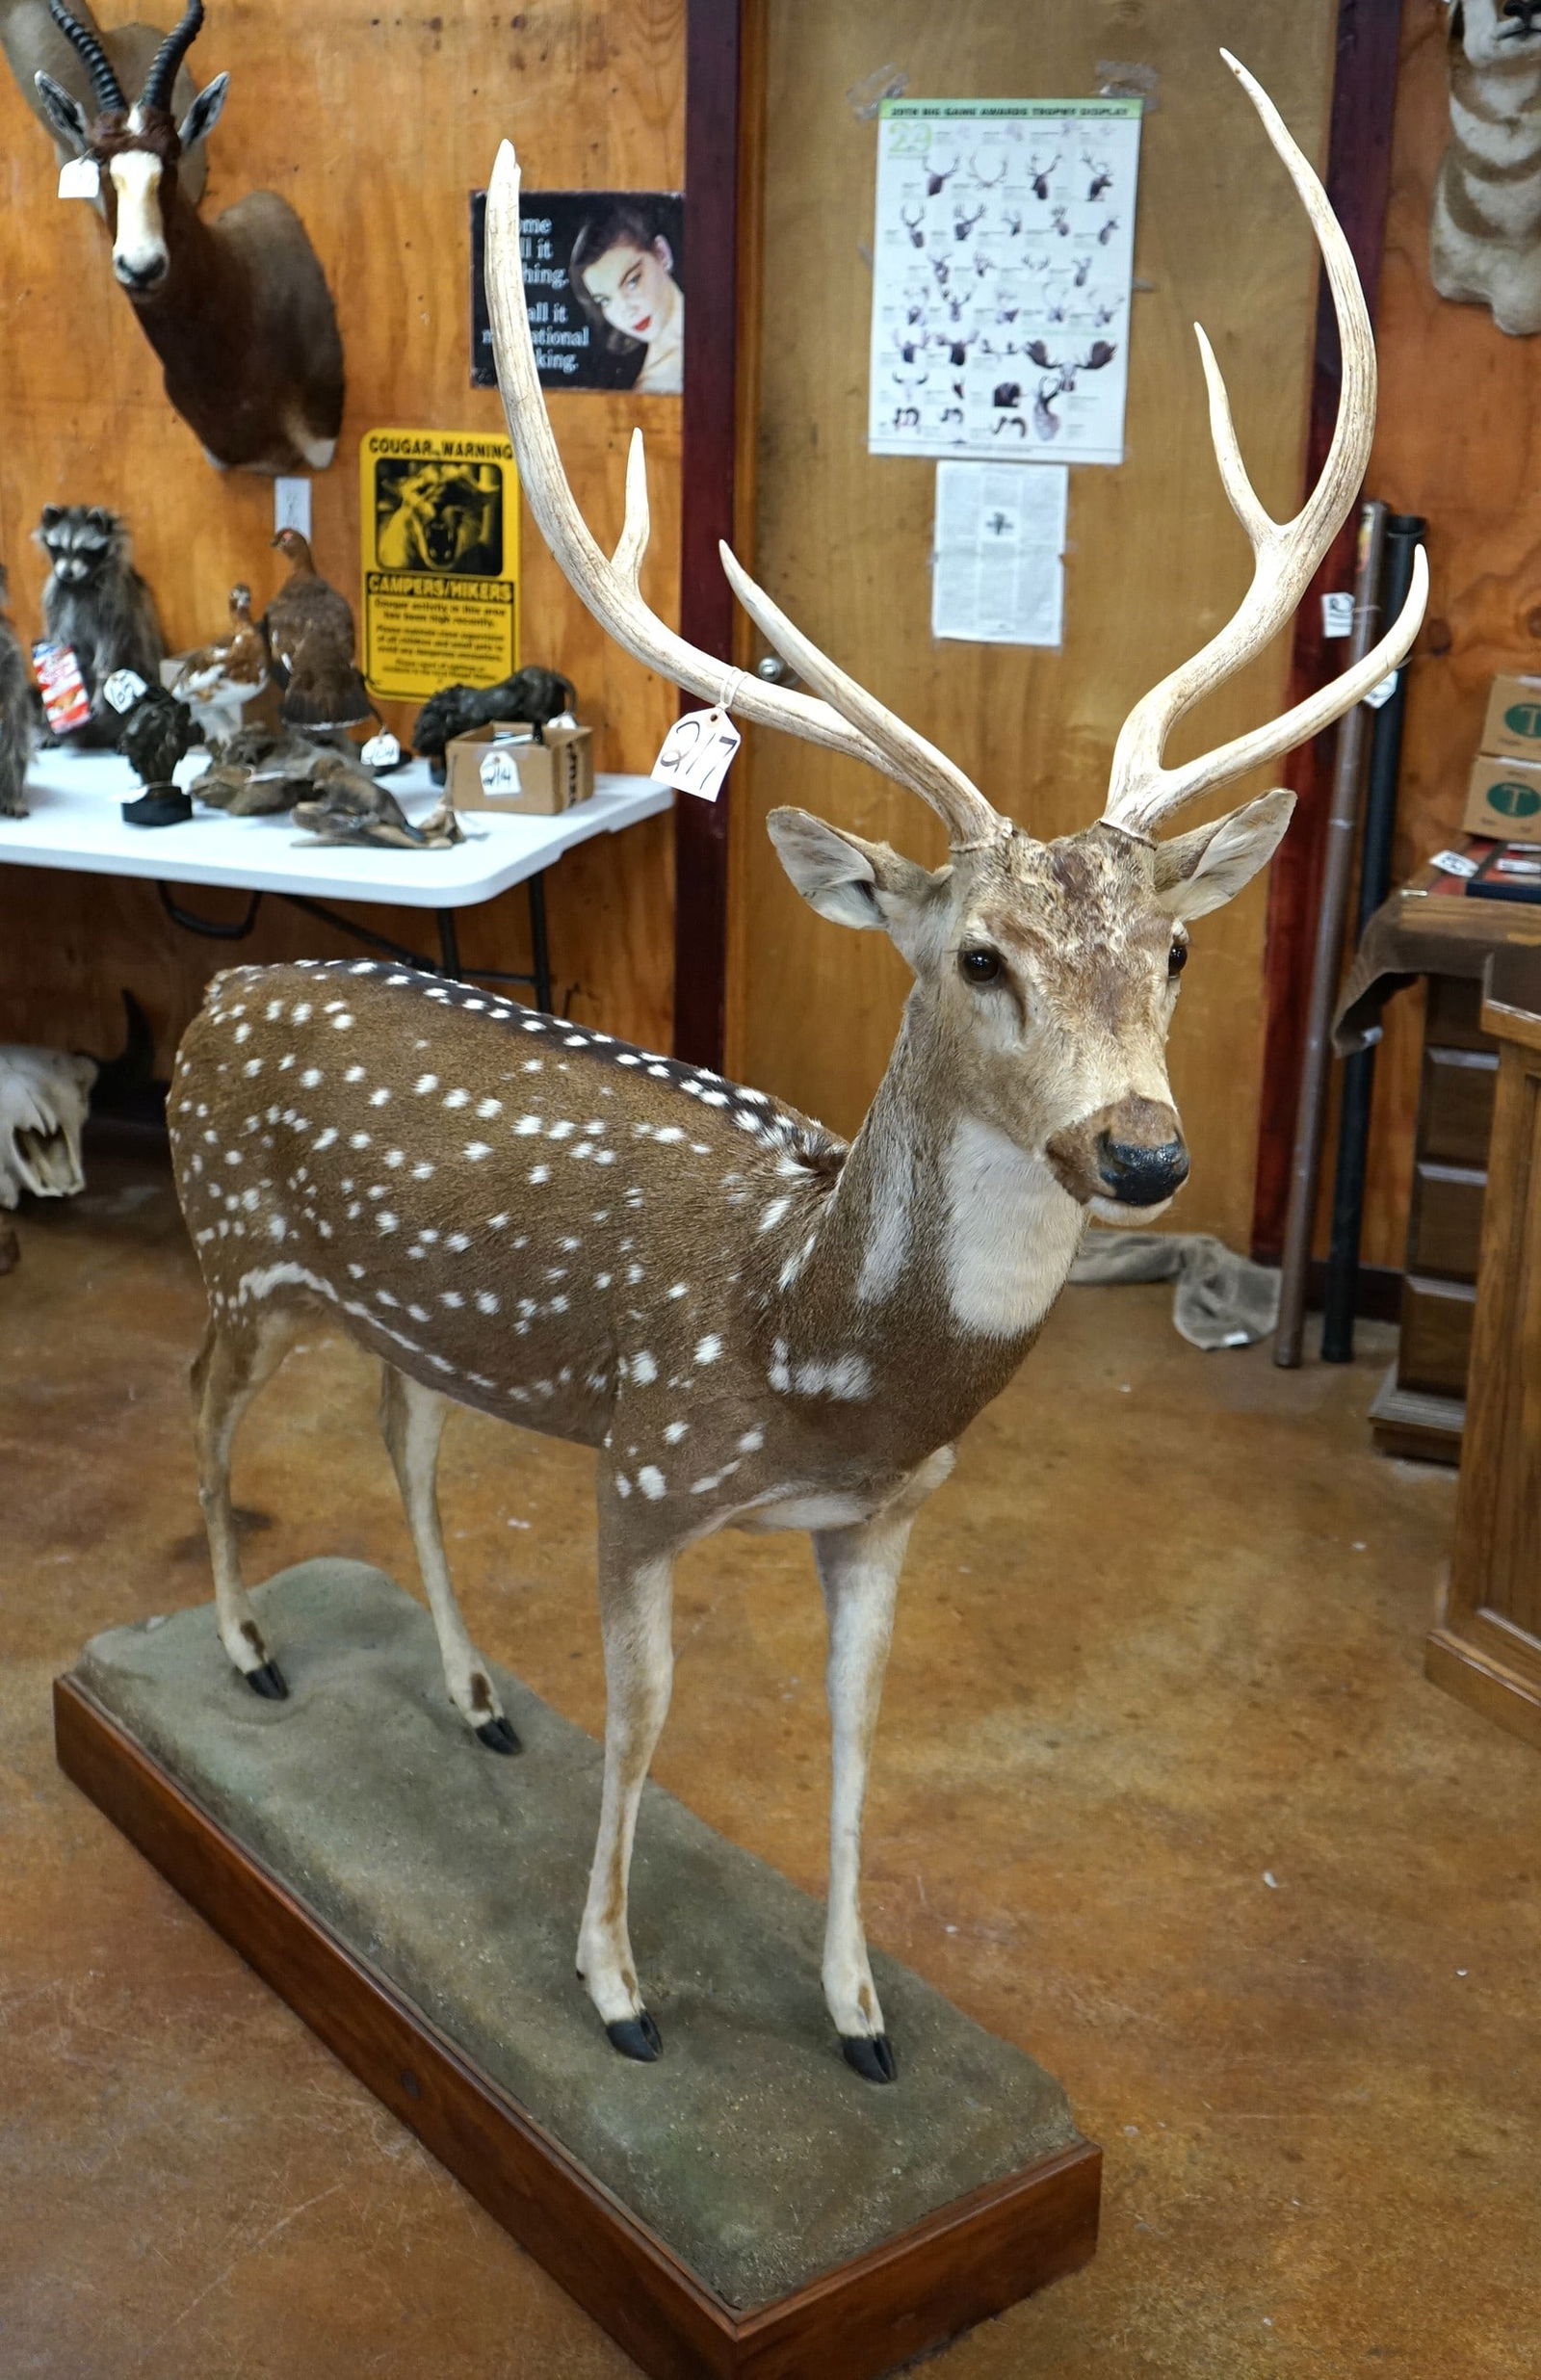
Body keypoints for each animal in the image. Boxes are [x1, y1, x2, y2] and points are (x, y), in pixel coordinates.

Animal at [167, 54, 1425, 2087]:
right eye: (978, 956)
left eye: (1172, 951)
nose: (1143, 1152)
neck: (807, 1344)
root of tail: (223, 998)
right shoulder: (642, 1465)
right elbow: (653, 1716)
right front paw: (616, 1990)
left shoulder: (886, 1526)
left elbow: (849, 1741)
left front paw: (855, 2010)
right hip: (237, 1248)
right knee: (202, 1406)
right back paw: (249, 1650)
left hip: (390, 1310)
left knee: (402, 1434)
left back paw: (468, 1690)